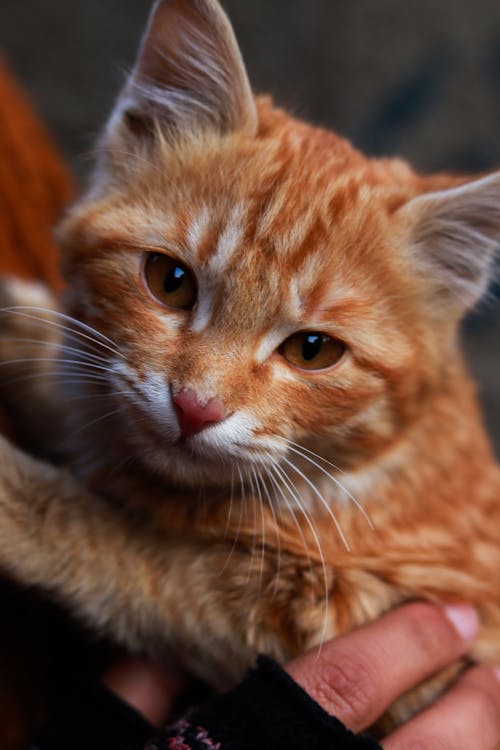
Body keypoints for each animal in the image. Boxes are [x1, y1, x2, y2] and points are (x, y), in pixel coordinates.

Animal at [0, 0, 498, 728]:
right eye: (171, 281)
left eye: (313, 351)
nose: (193, 406)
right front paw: (25, 331)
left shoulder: (333, 608)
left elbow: (123, 546)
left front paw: (12, 491)